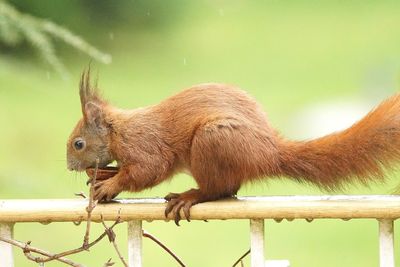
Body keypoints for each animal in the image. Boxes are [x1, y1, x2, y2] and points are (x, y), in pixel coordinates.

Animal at [66, 70, 400, 225]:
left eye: (78, 144)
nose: (69, 166)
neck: (119, 130)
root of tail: (269, 153)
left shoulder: (144, 144)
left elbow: (149, 170)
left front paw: (110, 185)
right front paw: (103, 175)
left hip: (212, 141)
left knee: (220, 189)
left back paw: (191, 195)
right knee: (230, 188)